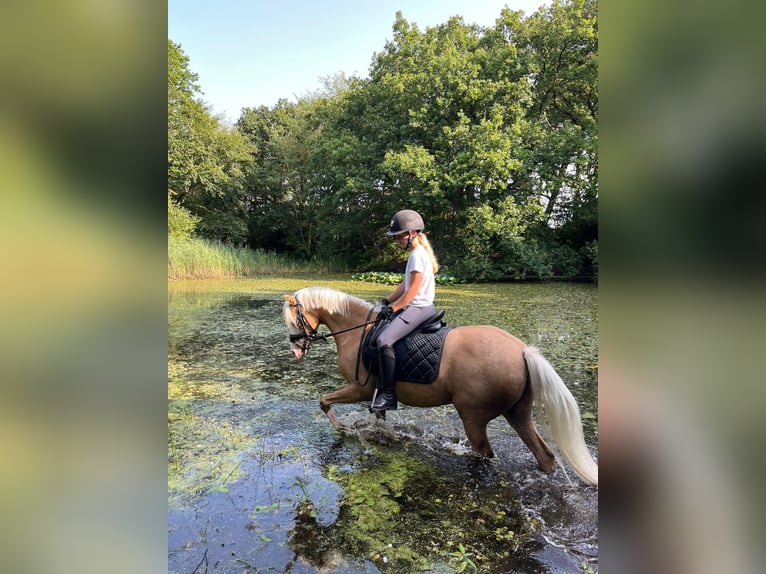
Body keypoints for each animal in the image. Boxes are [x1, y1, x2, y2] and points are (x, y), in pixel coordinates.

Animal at [284, 286, 600, 488]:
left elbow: (324, 401)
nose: (296, 349)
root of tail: (523, 351)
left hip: (473, 417)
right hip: (518, 413)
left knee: (484, 453)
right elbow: (380, 418)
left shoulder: (359, 388)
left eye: (294, 318)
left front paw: (343, 429)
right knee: (545, 456)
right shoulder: (376, 394)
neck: (358, 330)